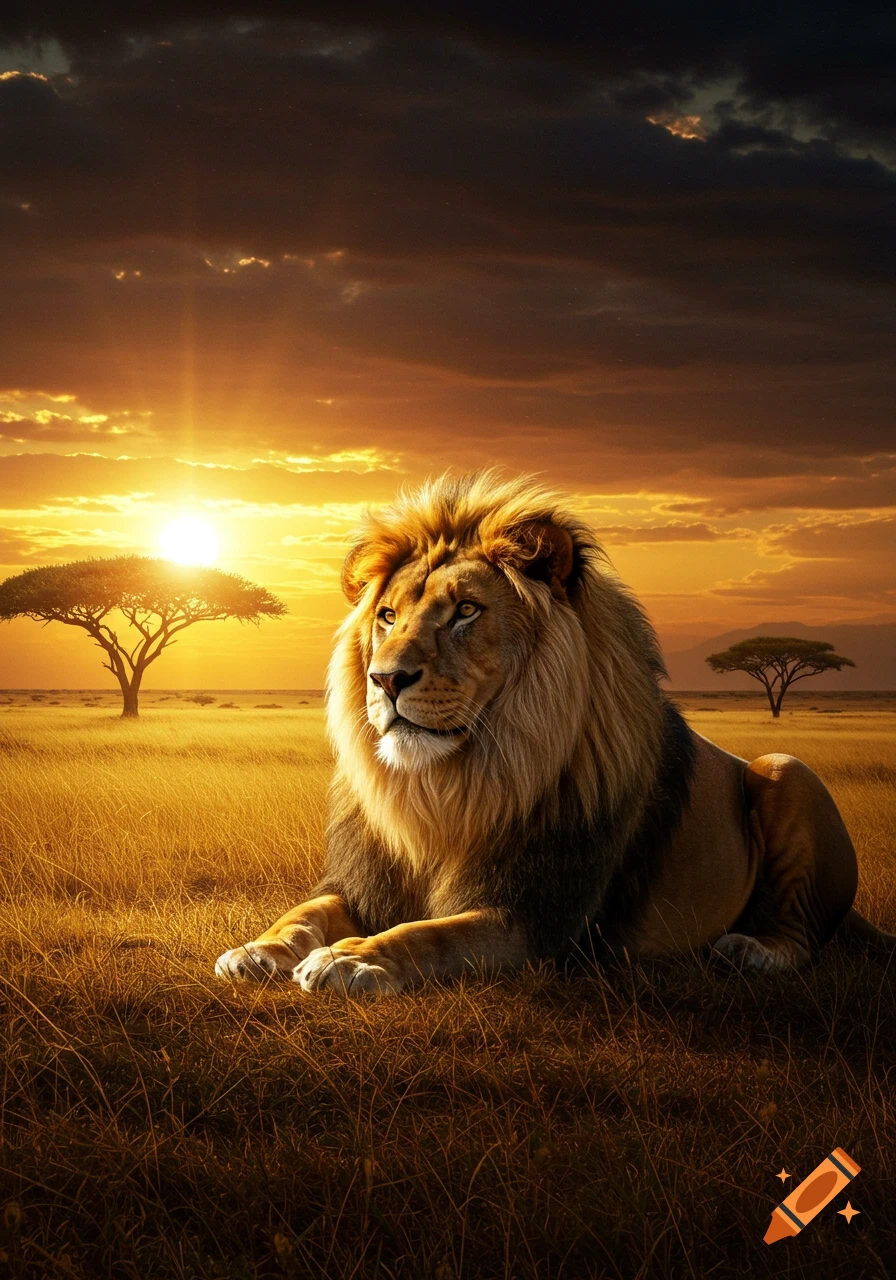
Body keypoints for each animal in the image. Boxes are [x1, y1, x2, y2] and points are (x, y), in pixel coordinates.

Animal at [215, 471, 895, 994]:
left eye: (466, 611)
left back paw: (753, 949)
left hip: (787, 770)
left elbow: (431, 934)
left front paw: (352, 958)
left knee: (804, 934)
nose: (385, 679)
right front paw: (258, 949)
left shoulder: (536, 920)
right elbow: (305, 910)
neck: (447, 788)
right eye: (386, 616)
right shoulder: (361, 884)